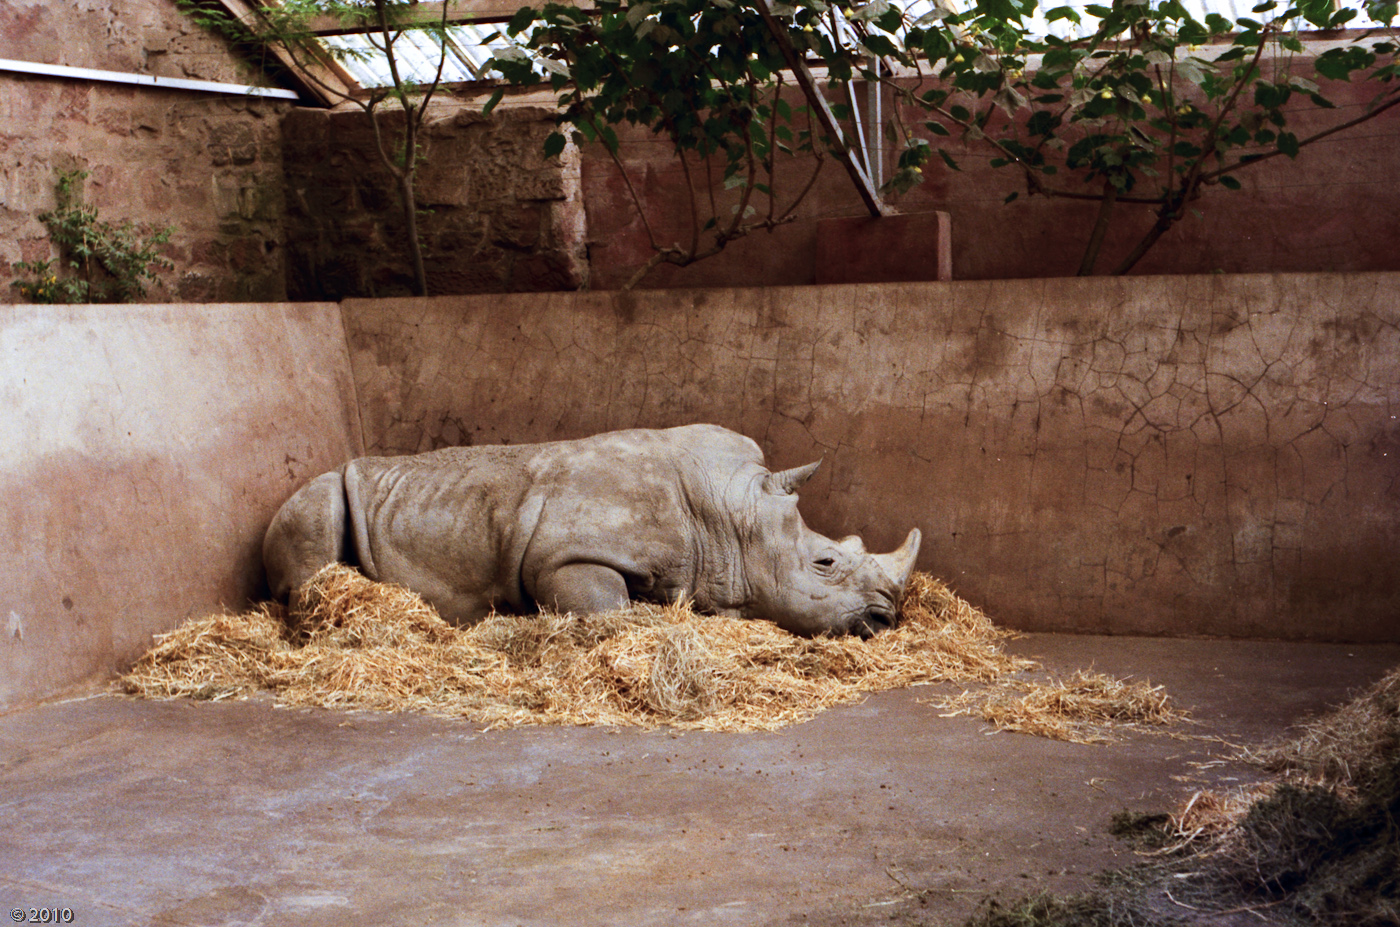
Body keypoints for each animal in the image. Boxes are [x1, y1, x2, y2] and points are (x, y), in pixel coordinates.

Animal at [264, 424, 921, 637]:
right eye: (825, 563)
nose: (888, 616)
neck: (727, 517)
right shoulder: (566, 556)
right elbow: (608, 607)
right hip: (310, 497)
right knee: (316, 512)